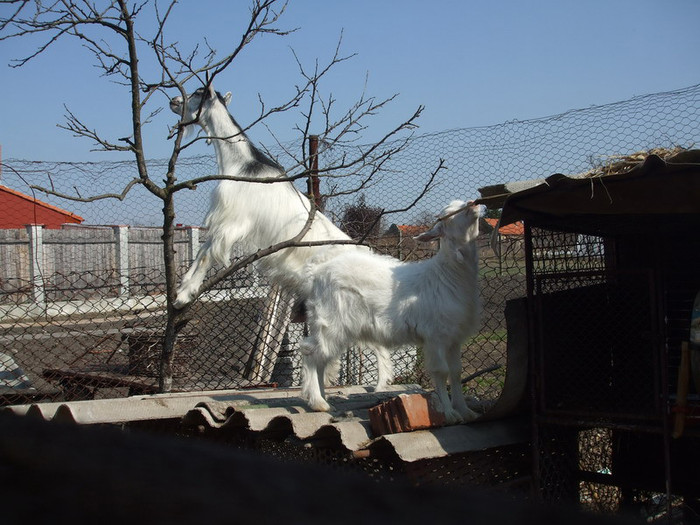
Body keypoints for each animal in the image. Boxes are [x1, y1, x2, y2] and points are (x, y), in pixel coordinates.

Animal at [168, 84, 394, 388]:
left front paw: (182, 295)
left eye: (196, 93)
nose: (173, 100)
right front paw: (183, 290)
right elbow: (202, 252)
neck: (242, 165)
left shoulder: (231, 222)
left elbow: (206, 254)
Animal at [298, 199, 484, 424]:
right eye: (447, 216)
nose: (473, 205)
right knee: (310, 353)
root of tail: (316, 273)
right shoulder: (436, 335)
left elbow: (456, 372)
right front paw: (449, 413)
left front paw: (466, 411)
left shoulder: (454, 337)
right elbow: (442, 372)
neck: (448, 275)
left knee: (321, 359)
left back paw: (324, 400)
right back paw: (317, 402)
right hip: (330, 321)